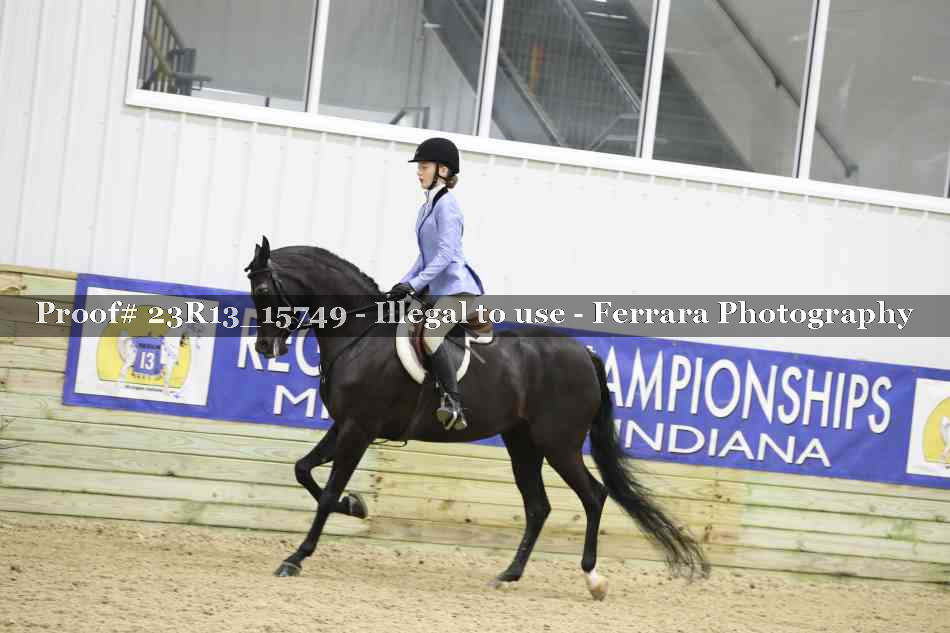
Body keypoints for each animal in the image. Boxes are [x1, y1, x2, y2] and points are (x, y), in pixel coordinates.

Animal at [244, 236, 708, 600]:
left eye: (264, 291)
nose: (266, 349)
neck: (359, 333)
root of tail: (584, 352)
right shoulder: (345, 424)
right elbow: (303, 469)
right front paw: (355, 506)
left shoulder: (359, 428)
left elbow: (324, 493)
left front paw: (295, 558)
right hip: (522, 443)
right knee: (538, 507)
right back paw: (508, 575)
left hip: (558, 444)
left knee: (593, 496)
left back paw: (593, 579)